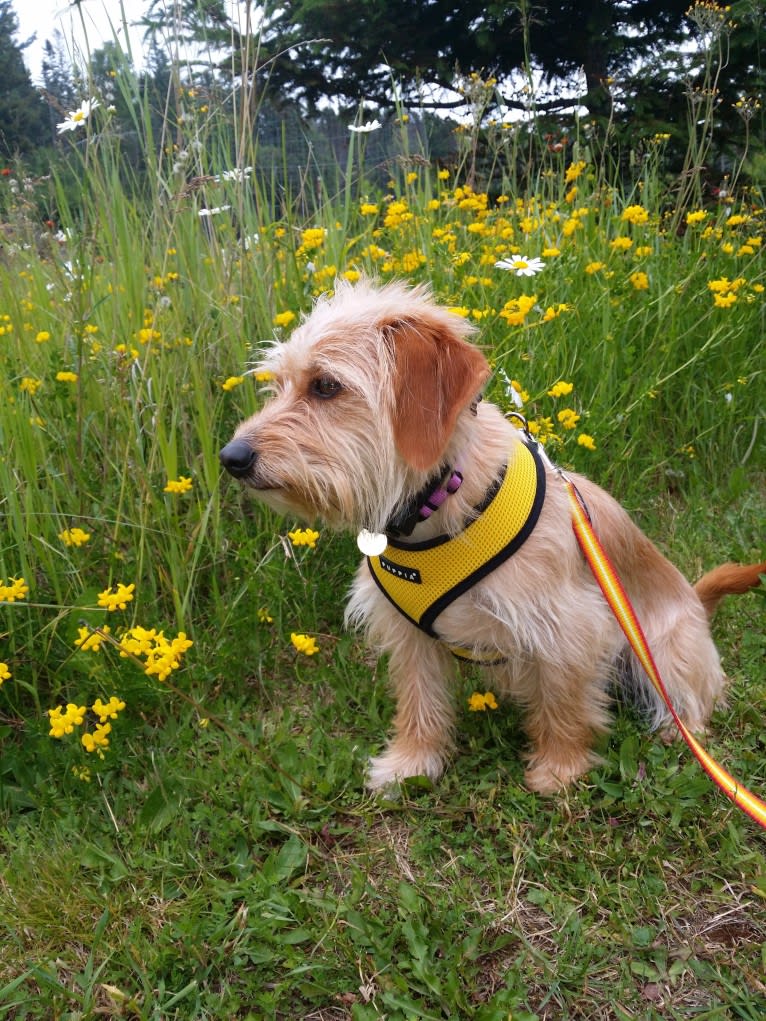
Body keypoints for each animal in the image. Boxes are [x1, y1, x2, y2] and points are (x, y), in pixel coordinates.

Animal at [218, 281, 763, 796]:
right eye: (279, 385)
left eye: (327, 386)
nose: (232, 457)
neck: (436, 509)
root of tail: (695, 599)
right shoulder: (408, 635)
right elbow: (418, 700)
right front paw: (412, 764)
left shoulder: (569, 625)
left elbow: (564, 703)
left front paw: (559, 770)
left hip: (669, 650)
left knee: (688, 699)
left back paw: (676, 729)